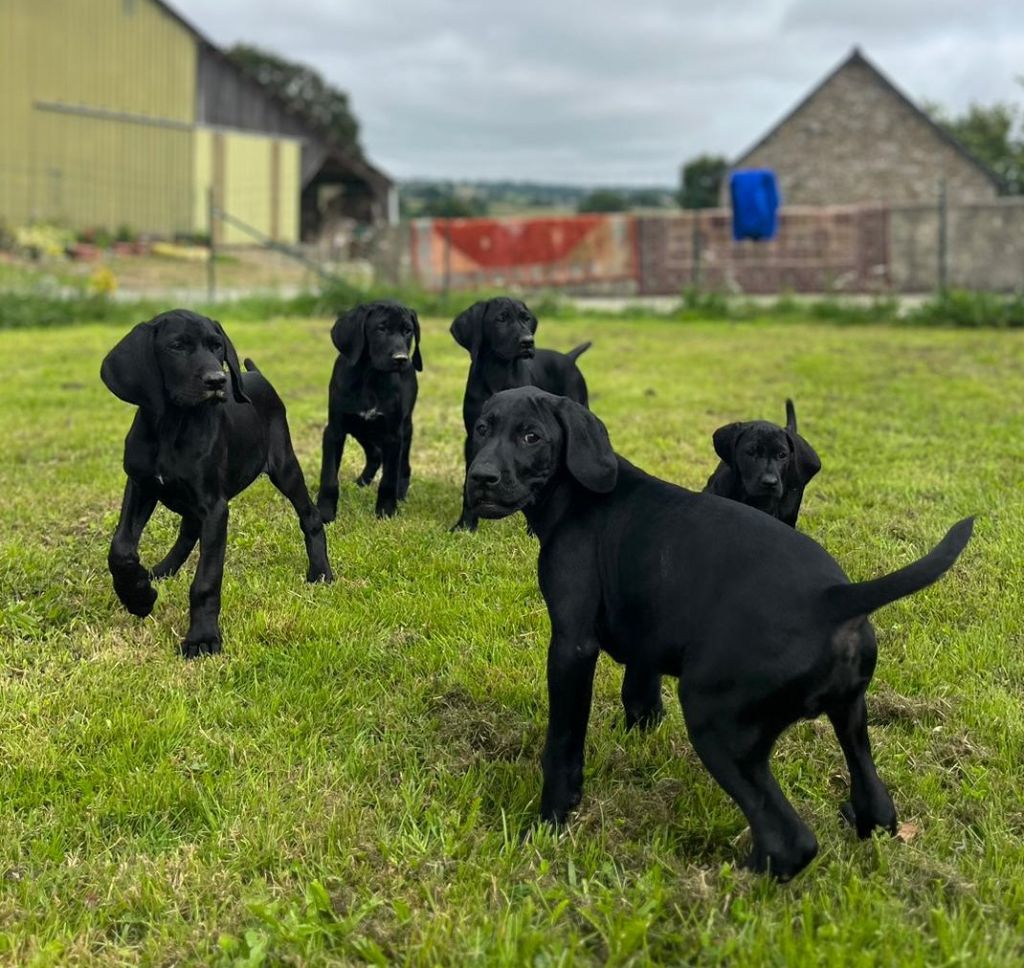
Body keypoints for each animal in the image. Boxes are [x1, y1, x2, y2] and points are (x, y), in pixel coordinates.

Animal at [100, 309, 331, 655]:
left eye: (217, 346)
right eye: (177, 346)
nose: (217, 381)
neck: (172, 426)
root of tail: (256, 376)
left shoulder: (215, 508)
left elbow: (206, 580)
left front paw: (203, 637)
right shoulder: (140, 485)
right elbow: (121, 549)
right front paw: (139, 596)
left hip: (284, 467)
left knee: (311, 517)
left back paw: (320, 572)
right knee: (186, 532)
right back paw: (161, 571)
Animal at [315, 301, 419, 520]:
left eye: (408, 331)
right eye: (381, 328)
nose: (401, 359)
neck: (370, 377)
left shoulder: (393, 436)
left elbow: (389, 478)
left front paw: (386, 512)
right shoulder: (335, 431)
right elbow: (329, 477)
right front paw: (325, 512)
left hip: (404, 428)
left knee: (403, 466)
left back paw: (400, 494)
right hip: (360, 429)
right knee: (375, 454)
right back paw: (361, 483)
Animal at [450, 299, 589, 532]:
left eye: (526, 318)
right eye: (501, 319)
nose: (527, 341)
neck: (498, 372)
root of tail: (568, 358)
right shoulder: (474, 438)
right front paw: (465, 526)